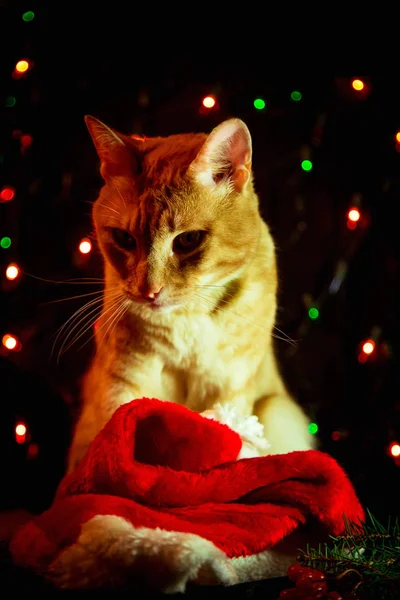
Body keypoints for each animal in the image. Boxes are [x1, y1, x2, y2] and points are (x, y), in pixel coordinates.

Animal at [66, 116, 316, 474]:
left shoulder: (228, 387)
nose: (148, 291)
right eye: (124, 239)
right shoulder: (124, 380)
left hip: (278, 411)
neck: (186, 319)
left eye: (187, 240)